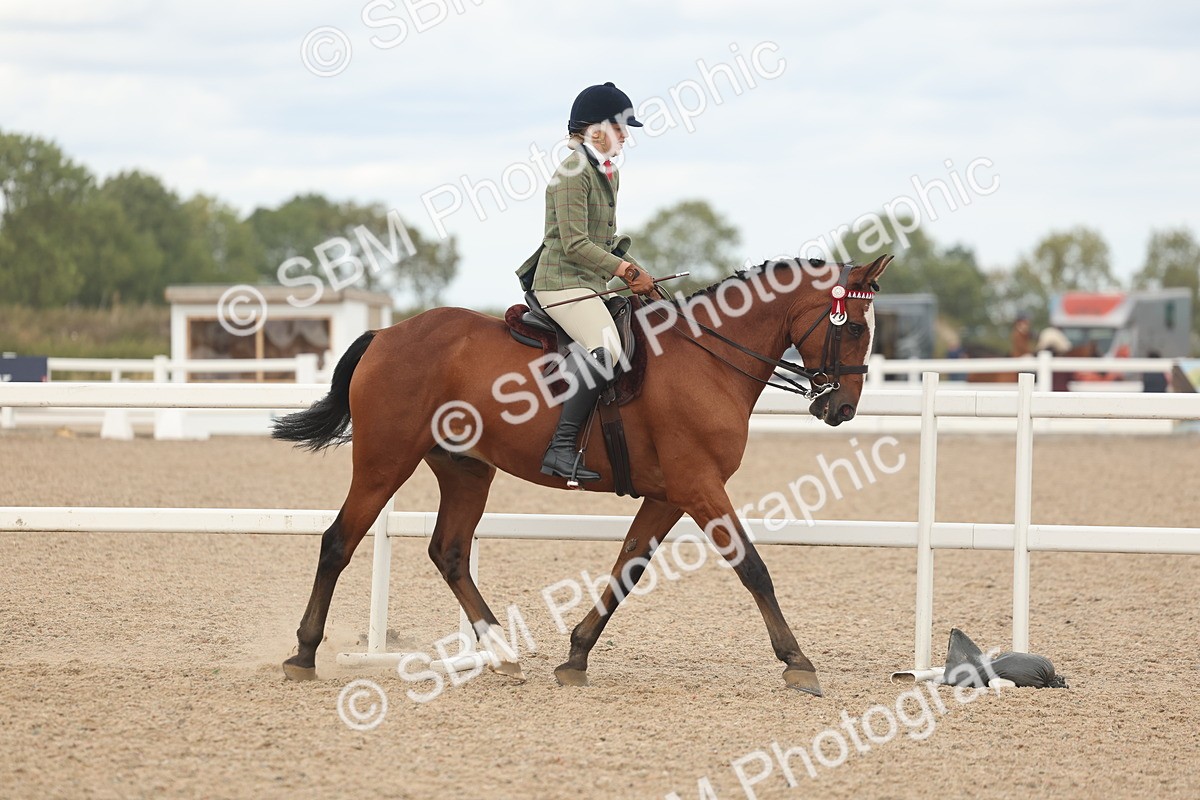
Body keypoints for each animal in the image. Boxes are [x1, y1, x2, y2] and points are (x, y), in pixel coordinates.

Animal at [272, 255, 893, 697]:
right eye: (854, 329)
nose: (842, 409)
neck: (708, 360)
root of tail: (387, 334)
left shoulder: (671, 494)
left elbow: (627, 568)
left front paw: (575, 656)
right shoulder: (699, 486)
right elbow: (753, 568)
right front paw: (798, 662)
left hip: (466, 469)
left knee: (449, 552)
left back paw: (502, 655)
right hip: (385, 460)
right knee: (338, 541)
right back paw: (303, 654)